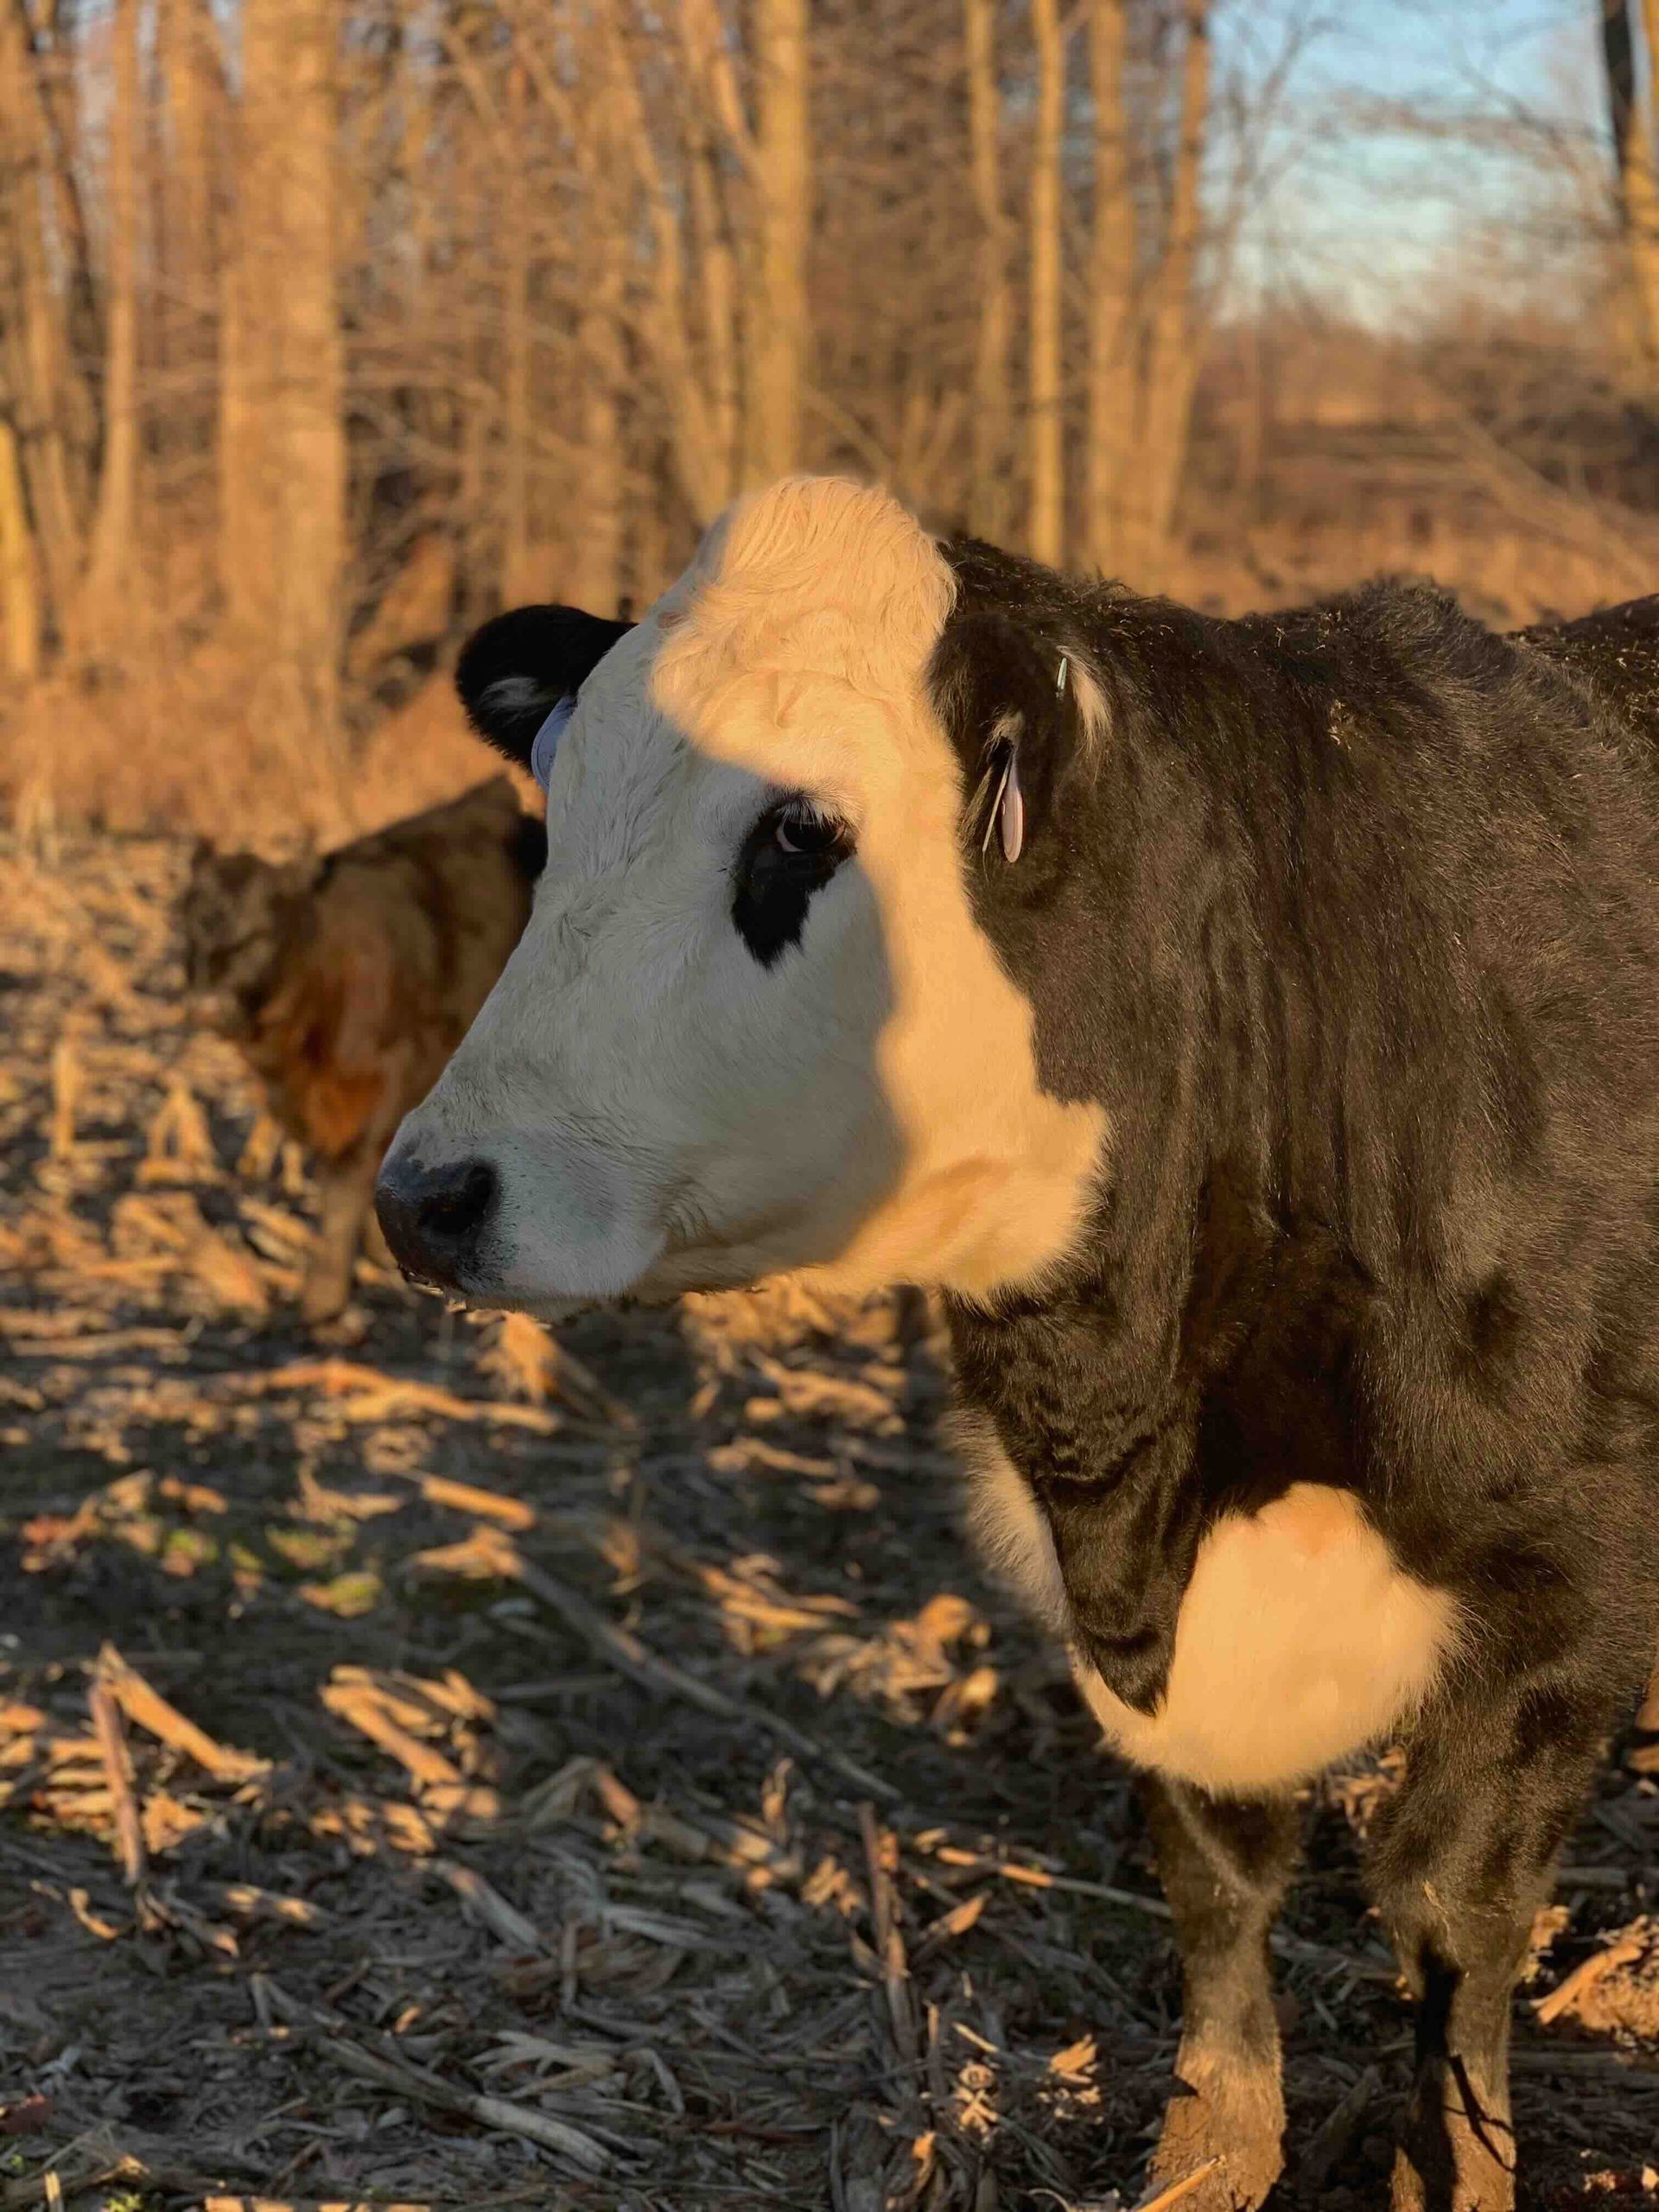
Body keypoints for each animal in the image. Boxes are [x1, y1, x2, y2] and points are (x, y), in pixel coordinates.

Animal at [181, 775, 544, 1323]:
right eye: (188, 930)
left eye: (258, 936)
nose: (207, 1006)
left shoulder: (399, 1073)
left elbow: (349, 1176)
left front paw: (325, 1304)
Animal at [373, 477, 1659, 2211]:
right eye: (553, 816)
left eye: (803, 831)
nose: (428, 1198)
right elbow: (1213, 1873)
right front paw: (1208, 2148)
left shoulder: (1572, 1593)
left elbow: (1450, 1913)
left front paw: (1452, 2168)